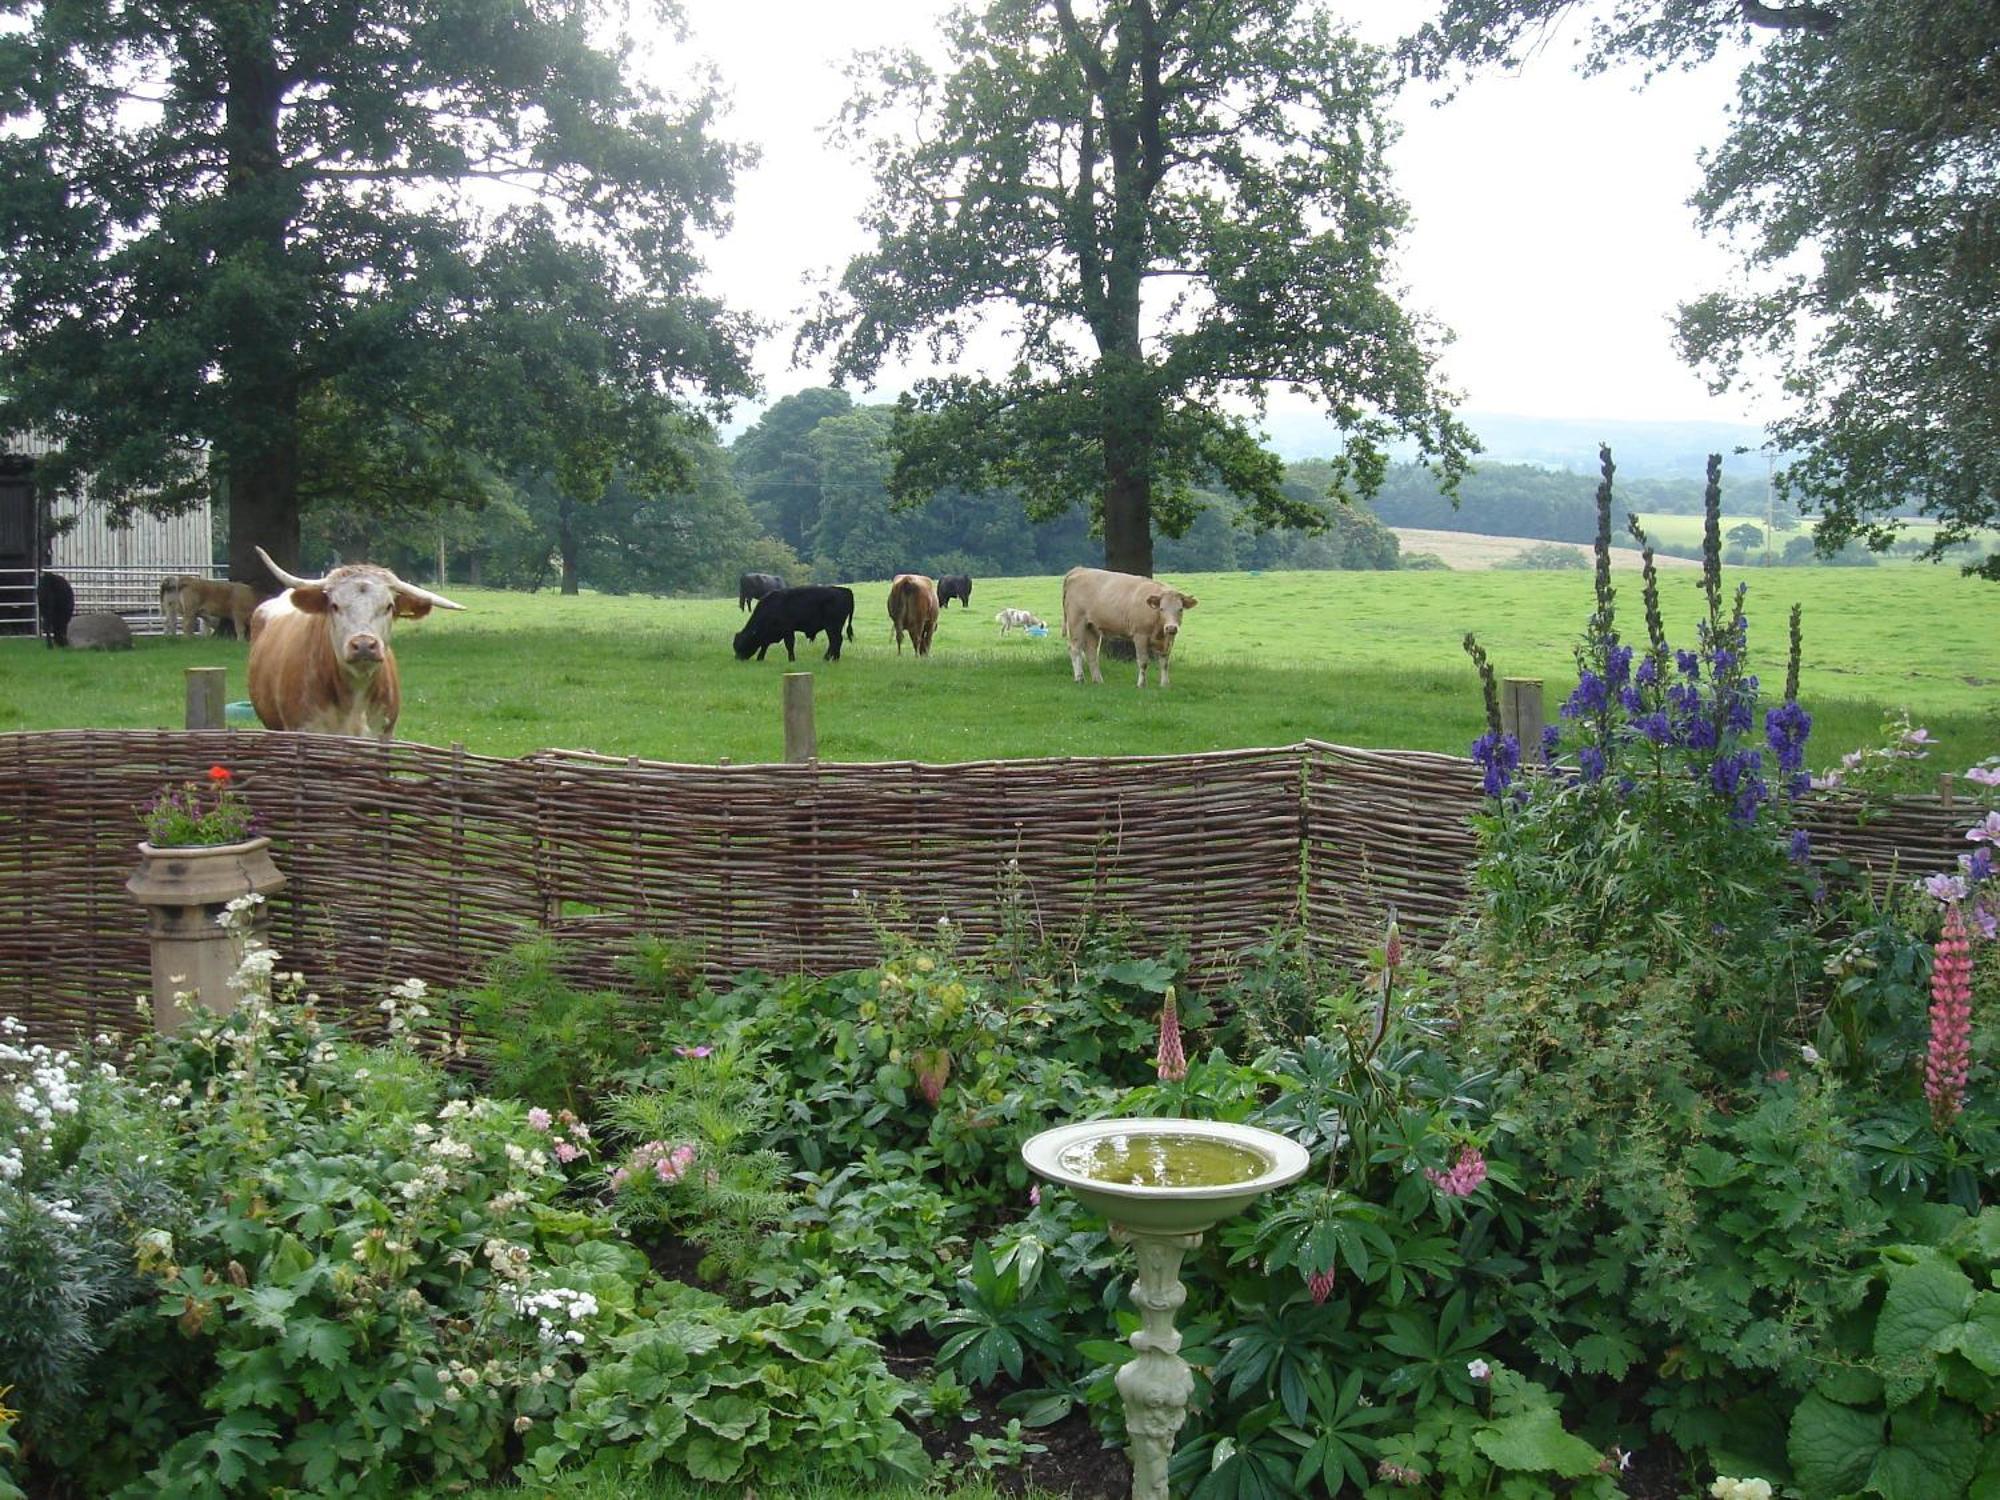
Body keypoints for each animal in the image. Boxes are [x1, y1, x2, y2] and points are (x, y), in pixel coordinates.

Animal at [1064, 568, 1200, 692]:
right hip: (1076, 621)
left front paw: (1165, 684)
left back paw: (1098, 680)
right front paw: (1141, 684)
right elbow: (1143, 662)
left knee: (1091, 653)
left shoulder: (1169, 640)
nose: (1171, 627)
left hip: (1092, 627)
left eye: (1180, 609)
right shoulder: (1140, 635)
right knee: (1075, 649)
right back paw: (1079, 678)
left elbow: (1165, 662)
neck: (1159, 631)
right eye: (1161, 609)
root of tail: (1080, 569)